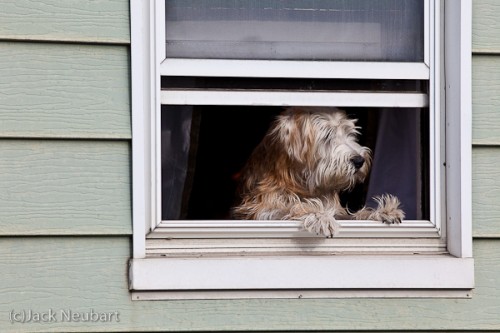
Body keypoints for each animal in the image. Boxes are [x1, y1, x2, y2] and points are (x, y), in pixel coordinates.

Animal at [232, 106, 404, 236]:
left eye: (350, 133)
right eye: (327, 136)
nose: (359, 160)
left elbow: (350, 215)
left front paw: (381, 212)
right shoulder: (258, 209)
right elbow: (290, 207)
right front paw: (319, 215)